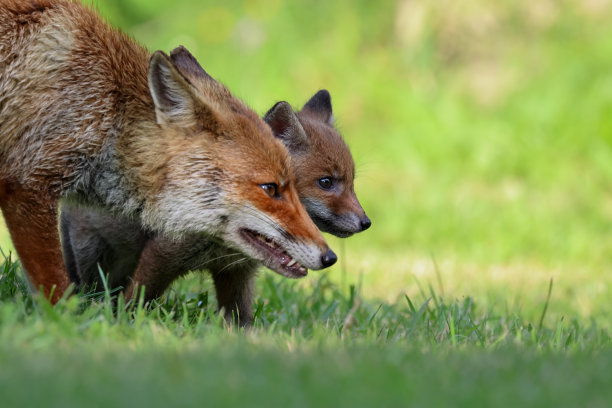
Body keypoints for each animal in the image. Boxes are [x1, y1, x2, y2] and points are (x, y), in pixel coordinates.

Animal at [0, 0, 334, 302]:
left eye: (295, 186)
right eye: (270, 188)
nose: (329, 256)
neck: (109, 109)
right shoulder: (26, 185)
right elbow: (55, 289)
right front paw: (62, 320)